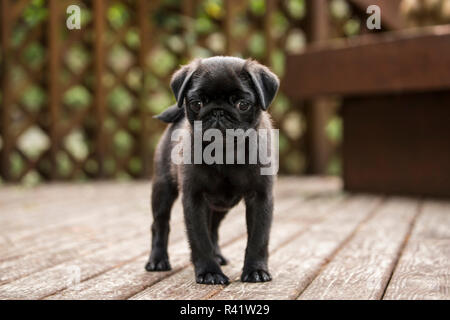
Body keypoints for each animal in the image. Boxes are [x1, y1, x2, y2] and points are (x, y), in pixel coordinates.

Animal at [146, 56, 280, 284]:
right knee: (160, 224)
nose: (218, 112)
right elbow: (200, 239)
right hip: (163, 189)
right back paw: (157, 260)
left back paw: (218, 255)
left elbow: (258, 238)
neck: (224, 152)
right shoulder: (194, 198)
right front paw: (209, 271)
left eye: (242, 104)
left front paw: (255, 269)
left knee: (214, 228)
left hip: (220, 206)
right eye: (196, 103)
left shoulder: (261, 197)